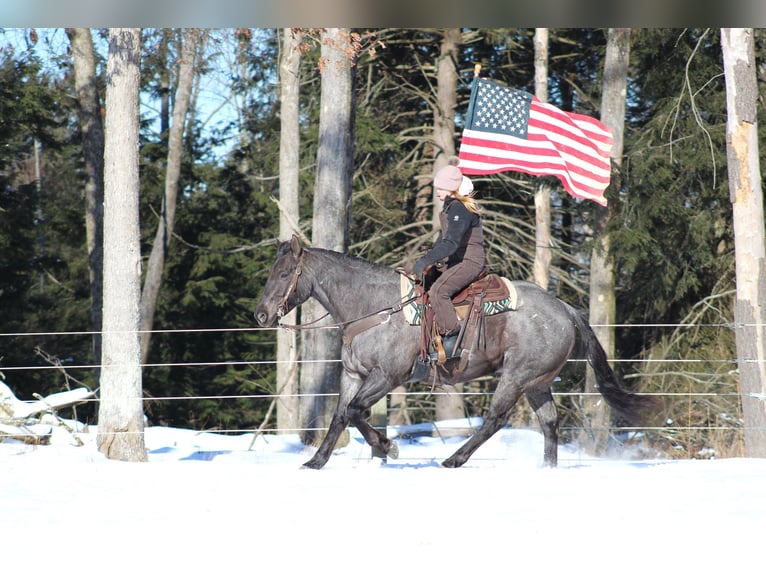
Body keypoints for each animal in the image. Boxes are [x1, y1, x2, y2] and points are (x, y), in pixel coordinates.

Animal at [255, 236, 656, 470]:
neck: (375, 308)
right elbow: (340, 416)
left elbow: (354, 411)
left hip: (516, 377)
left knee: (496, 419)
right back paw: (547, 469)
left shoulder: (388, 376)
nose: (261, 315)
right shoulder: (353, 374)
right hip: (536, 381)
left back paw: (453, 459)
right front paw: (316, 461)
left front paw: (387, 447)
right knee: (549, 422)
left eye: (285, 273)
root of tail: (566, 309)